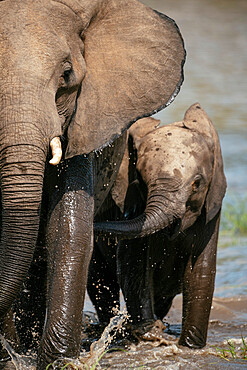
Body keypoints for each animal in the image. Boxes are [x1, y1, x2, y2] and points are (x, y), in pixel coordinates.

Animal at [91, 102, 227, 348]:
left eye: (197, 183)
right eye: (140, 182)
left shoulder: (212, 209)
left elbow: (201, 272)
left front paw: (190, 347)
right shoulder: (131, 204)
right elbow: (133, 265)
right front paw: (150, 334)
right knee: (100, 280)